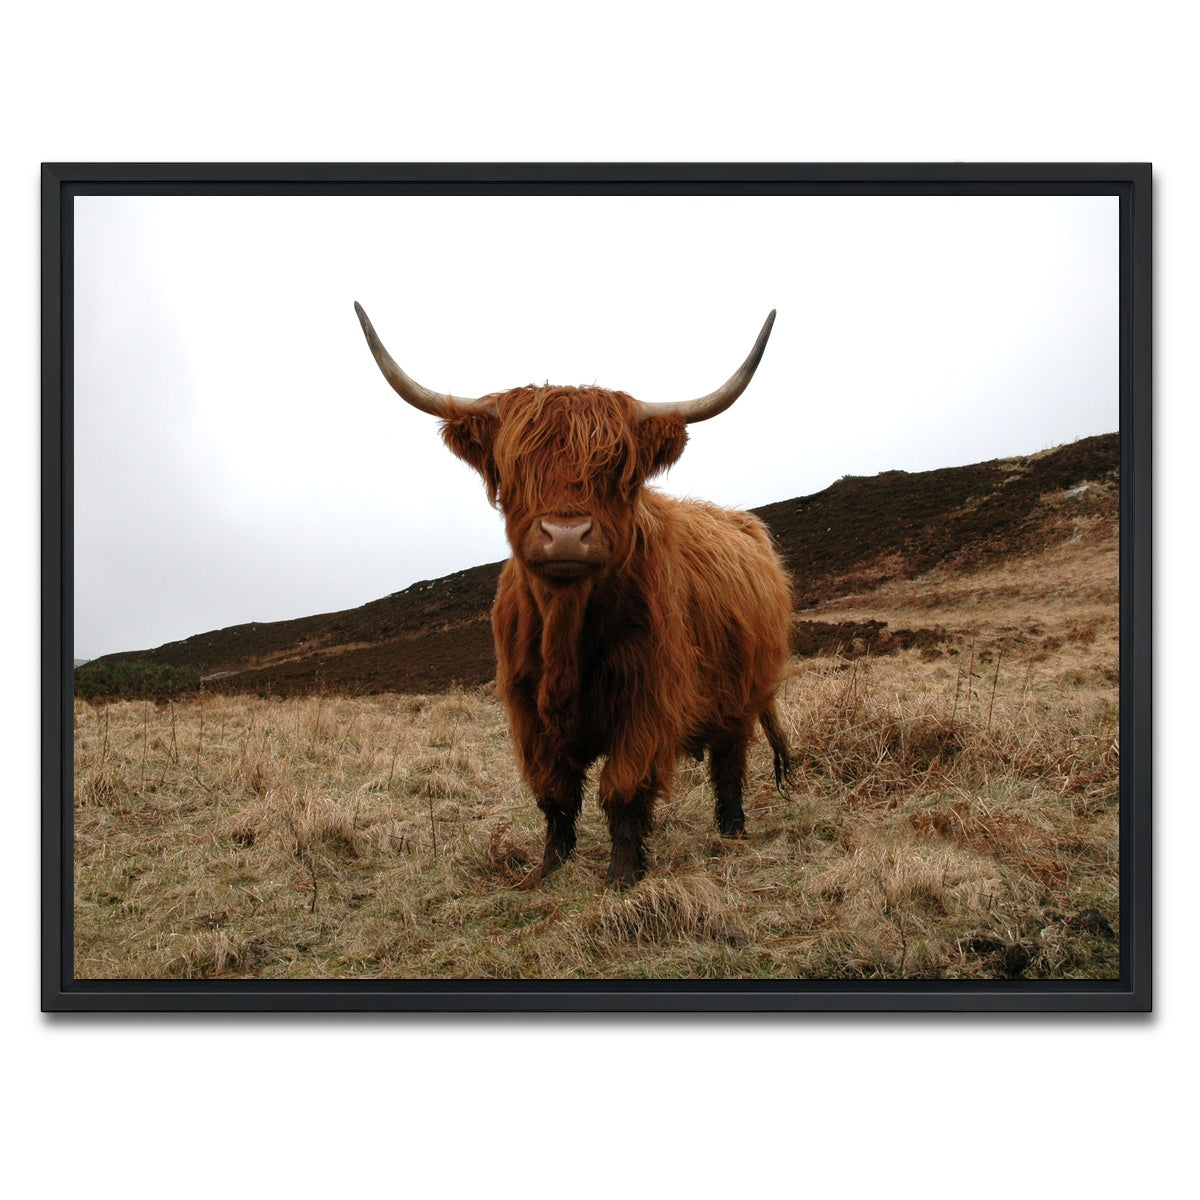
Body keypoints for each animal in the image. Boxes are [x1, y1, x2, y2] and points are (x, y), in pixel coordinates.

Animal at [355, 303, 794, 887]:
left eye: (616, 469)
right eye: (516, 466)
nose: (565, 534)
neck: (565, 631)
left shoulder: (648, 700)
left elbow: (624, 789)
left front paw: (623, 874)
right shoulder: (526, 709)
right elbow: (555, 794)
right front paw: (547, 868)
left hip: (743, 695)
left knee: (730, 763)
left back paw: (733, 831)